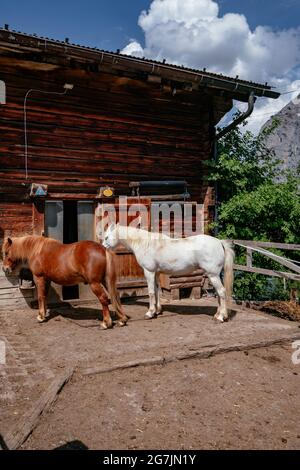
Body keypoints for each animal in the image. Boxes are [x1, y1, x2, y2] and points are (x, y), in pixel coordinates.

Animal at [99, 225, 236, 324]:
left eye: (106, 237)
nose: (102, 247)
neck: (145, 243)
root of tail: (219, 242)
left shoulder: (149, 272)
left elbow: (151, 292)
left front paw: (150, 313)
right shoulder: (156, 273)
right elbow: (157, 291)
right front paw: (157, 311)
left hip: (213, 275)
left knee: (222, 292)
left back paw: (221, 317)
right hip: (214, 276)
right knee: (219, 294)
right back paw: (217, 315)